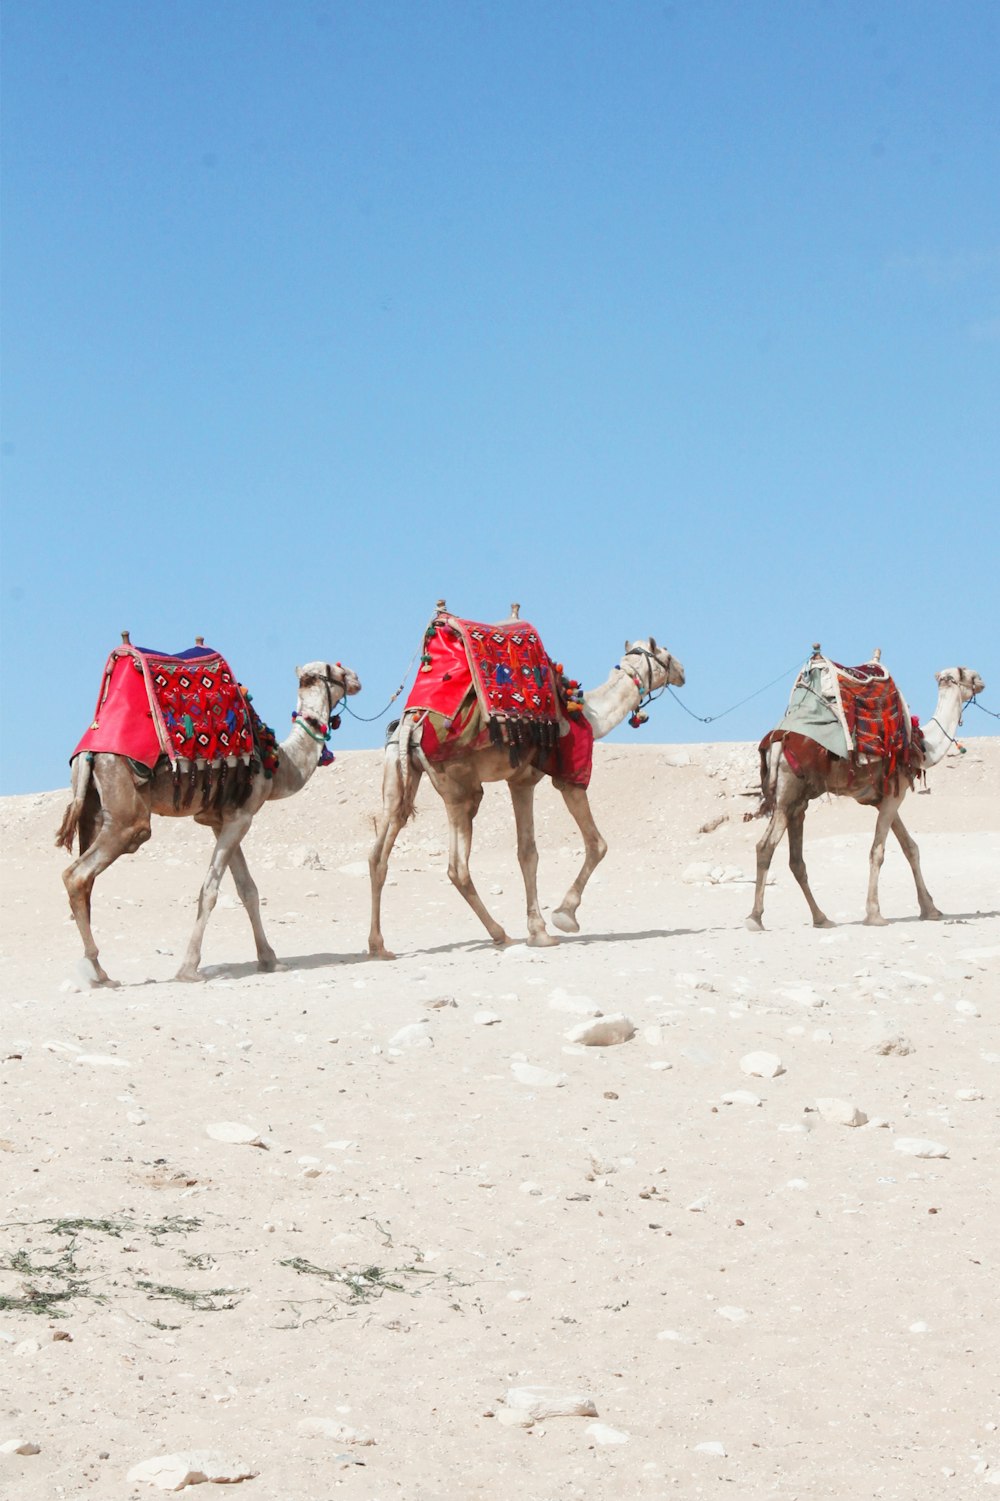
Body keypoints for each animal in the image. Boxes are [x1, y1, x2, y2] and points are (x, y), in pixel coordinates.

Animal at [366, 603, 684, 954]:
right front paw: (562, 917)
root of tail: (412, 724)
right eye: (667, 655)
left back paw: (378, 946)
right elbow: (596, 844)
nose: (683, 671)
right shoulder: (569, 773)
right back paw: (499, 933)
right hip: (459, 786)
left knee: (379, 851)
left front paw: (537, 930)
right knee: (457, 867)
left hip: (398, 775)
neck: (588, 714)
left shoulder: (520, 781)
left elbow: (527, 851)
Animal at [738, 651, 978, 930]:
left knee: (793, 859)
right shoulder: (895, 793)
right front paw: (875, 915)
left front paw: (931, 909)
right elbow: (878, 851)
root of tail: (777, 740)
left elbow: (910, 848)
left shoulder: (882, 797)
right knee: (766, 846)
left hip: (794, 801)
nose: (982, 681)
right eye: (967, 674)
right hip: (789, 794)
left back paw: (821, 917)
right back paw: (755, 918)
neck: (921, 746)